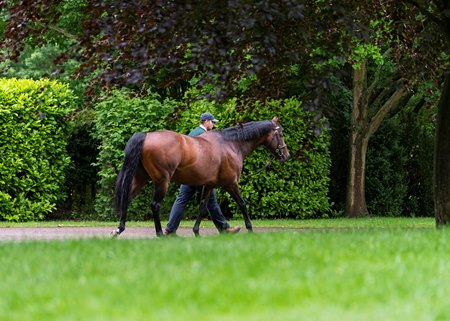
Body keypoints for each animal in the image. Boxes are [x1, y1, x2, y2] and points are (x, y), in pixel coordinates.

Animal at [110, 116, 290, 236]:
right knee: (155, 205)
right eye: (280, 134)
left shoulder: (209, 185)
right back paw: (160, 233)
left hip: (141, 178)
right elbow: (242, 204)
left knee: (127, 198)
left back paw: (119, 229)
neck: (231, 144)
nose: (286, 156)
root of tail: (146, 135)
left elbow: (203, 206)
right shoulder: (231, 184)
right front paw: (250, 229)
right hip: (162, 181)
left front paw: (197, 232)